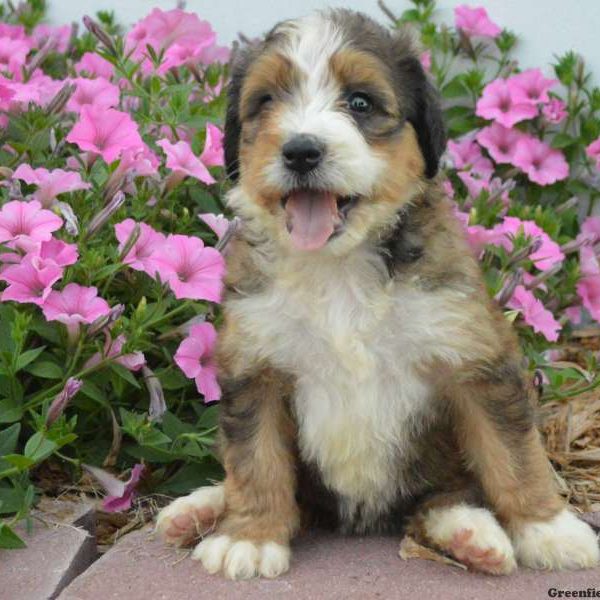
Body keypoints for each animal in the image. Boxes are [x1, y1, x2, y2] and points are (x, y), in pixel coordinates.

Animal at [156, 9, 600, 580]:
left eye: (361, 102)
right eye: (266, 101)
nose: (301, 150)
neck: (340, 266)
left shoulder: (473, 358)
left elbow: (512, 451)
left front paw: (548, 529)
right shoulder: (256, 366)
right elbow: (255, 460)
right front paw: (249, 537)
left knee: (444, 496)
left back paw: (471, 534)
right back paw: (198, 509)